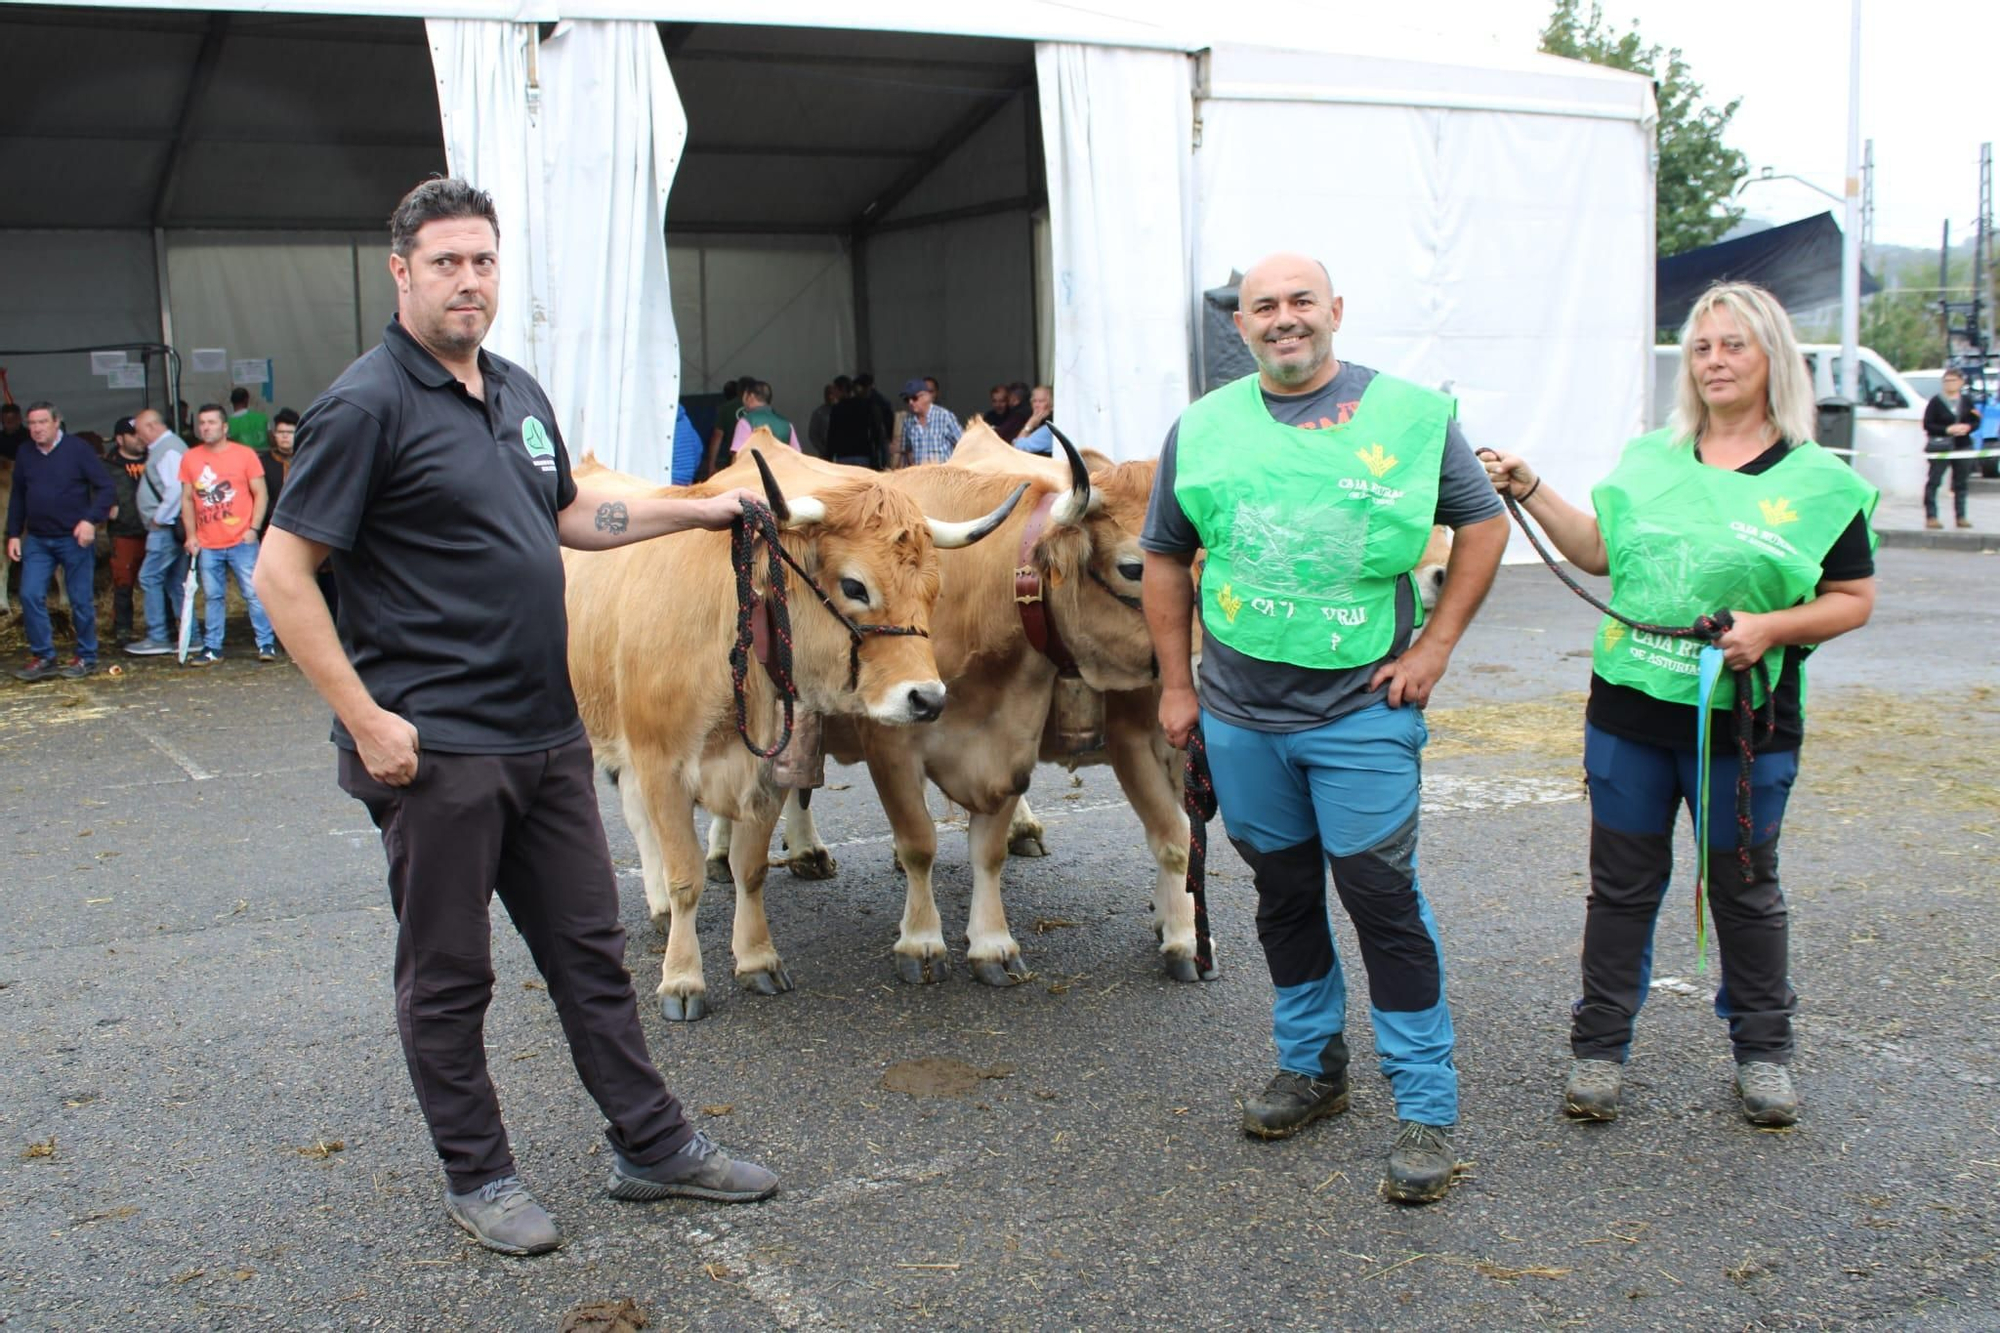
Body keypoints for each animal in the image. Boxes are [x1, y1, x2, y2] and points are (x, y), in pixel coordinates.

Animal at [568, 448, 1032, 1016]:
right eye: (855, 586)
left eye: (934, 591)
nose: (928, 699)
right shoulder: (662, 765)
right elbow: (686, 879)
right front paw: (680, 979)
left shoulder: (767, 769)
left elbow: (750, 868)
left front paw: (756, 959)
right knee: (638, 822)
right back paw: (657, 906)